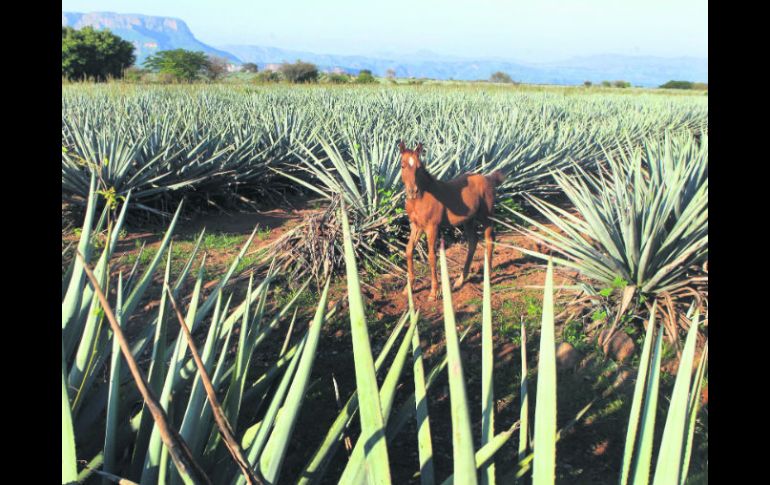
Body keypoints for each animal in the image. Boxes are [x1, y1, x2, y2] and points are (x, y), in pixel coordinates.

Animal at [396, 140, 504, 298]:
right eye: (402, 165)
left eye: (419, 167)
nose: (412, 191)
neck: (422, 197)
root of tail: (488, 178)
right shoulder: (416, 226)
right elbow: (409, 250)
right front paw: (408, 288)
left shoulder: (432, 227)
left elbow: (432, 256)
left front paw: (434, 292)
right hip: (469, 220)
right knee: (473, 242)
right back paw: (460, 281)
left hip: (486, 217)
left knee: (490, 240)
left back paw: (487, 279)